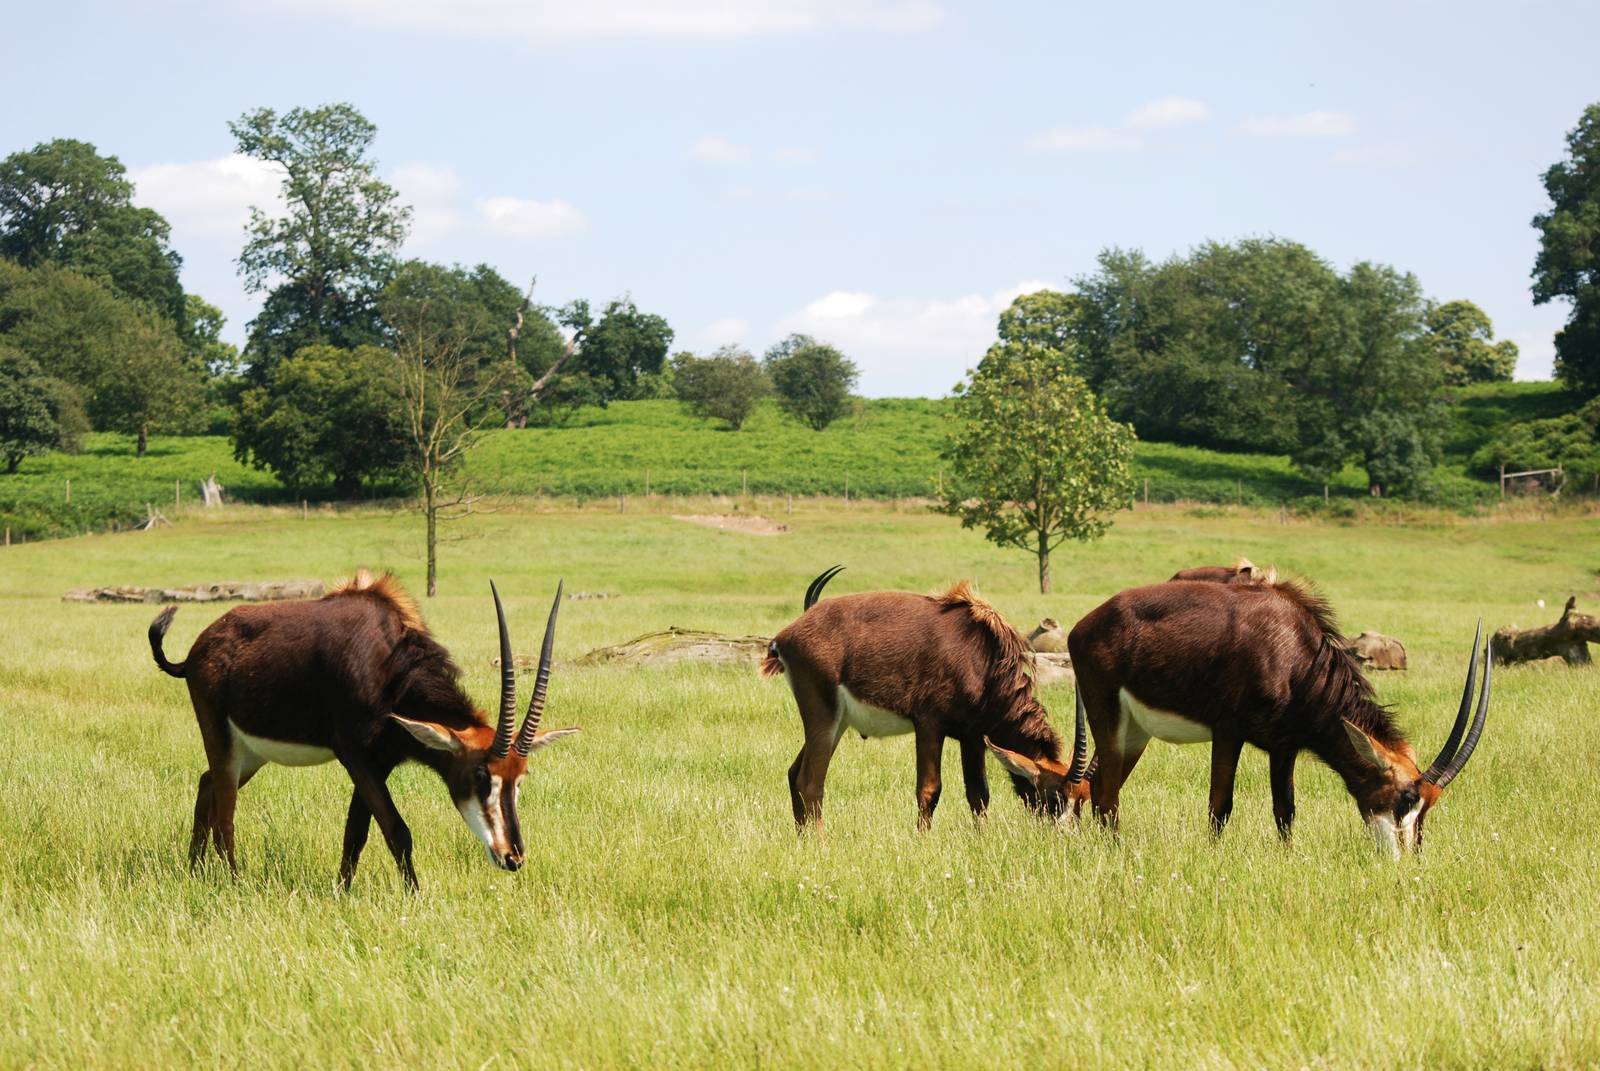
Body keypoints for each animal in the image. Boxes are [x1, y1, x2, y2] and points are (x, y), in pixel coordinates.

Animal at [148, 569, 578, 889]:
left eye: (521, 777)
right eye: (480, 775)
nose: (512, 857)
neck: (389, 669)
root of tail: (197, 649)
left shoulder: (379, 762)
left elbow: (356, 832)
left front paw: (342, 892)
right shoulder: (353, 754)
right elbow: (396, 830)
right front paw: (414, 897)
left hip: (251, 754)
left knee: (206, 785)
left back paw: (194, 871)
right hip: (220, 737)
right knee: (225, 809)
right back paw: (234, 882)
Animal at [762, 566, 1088, 830]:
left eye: (1082, 798)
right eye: (1056, 797)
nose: (1068, 836)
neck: (981, 657)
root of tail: (785, 637)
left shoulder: (972, 737)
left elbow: (979, 793)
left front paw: (981, 837)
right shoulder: (929, 725)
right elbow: (930, 789)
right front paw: (922, 838)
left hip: (838, 722)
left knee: (794, 773)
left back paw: (802, 839)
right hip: (823, 716)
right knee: (810, 781)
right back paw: (820, 842)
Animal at [1068, 572, 1489, 857]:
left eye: (1427, 805)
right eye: (1404, 799)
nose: (1406, 860)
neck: (1297, 660)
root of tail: (1082, 627)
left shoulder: (1284, 747)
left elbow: (1285, 809)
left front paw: (1288, 857)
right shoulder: (1228, 732)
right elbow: (1220, 805)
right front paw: (1213, 858)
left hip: (1136, 731)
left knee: (1103, 787)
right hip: (1107, 716)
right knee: (1107, 793)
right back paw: (1115, 852)